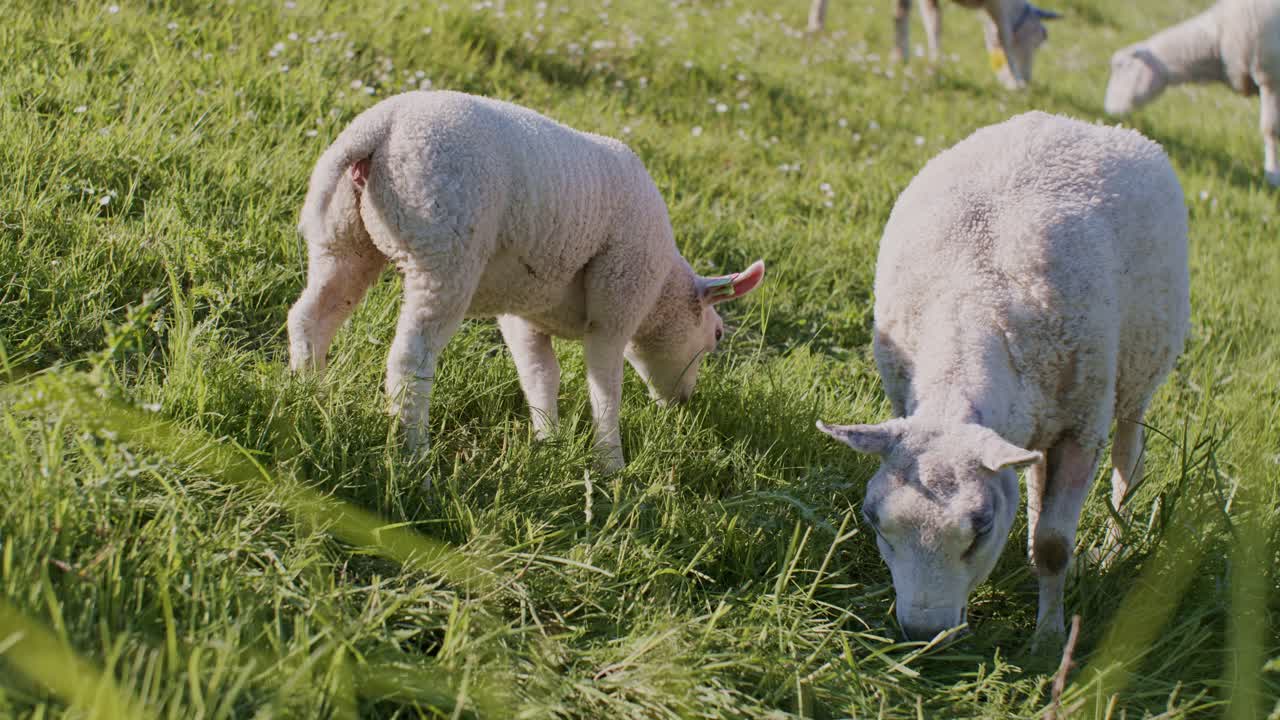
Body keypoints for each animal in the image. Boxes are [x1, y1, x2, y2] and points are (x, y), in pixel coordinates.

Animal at [287, 90, 765, 474]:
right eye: (717, 335)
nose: (684, 404)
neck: (661, 290)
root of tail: (379, 125)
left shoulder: (525, 312)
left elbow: (540, 375)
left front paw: (548, 443)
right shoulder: (617, 302)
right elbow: (604, 386)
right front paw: (611, 463)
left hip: (344, 238)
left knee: (311, 315)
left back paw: (310, 394)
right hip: (444, 249)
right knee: (410, 360)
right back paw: (414, 455)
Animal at [806, 0, 1061, 90]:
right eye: (1041, 37)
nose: (1028, 78)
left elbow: (933, 21)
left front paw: (934, 63)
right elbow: (1005, 37)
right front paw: (1014, 81)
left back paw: (815, 26)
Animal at [817, 111, 1190, 643]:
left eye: (981, 529)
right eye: (874, 523)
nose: (923, 633)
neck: (974, 298)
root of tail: (1085, 124)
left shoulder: (1082, 428)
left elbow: (1053, 546)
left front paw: (1048, 638)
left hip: (1137, 376)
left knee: (1129, 464)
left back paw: (1114, 547)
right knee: (1034, 473)